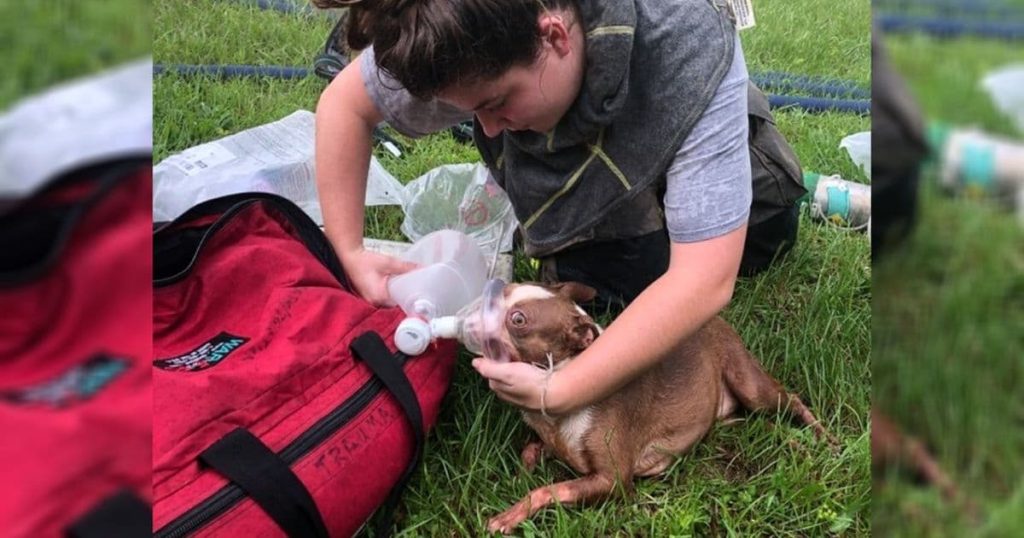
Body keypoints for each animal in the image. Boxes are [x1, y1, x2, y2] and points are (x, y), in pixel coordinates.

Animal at [481, 280, 839, 532]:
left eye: (518, 320)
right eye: (507, 289)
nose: (487, 298)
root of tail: (715, 319)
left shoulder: (613, 482)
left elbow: (548, 490)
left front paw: (510, 514)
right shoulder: (556, 443)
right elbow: (531, 451)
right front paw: (520, 475)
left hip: (749, 385)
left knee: (791, 400)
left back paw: (824, 438)